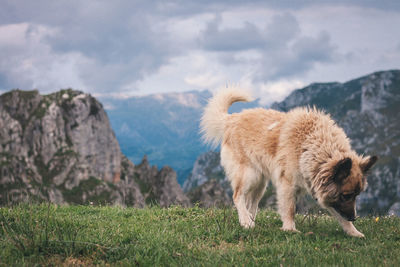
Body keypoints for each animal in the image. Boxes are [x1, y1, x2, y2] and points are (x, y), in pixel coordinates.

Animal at [202, 88, 376, 239]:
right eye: (346, 195)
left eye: (357, 195)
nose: (354, 218)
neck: (313, 144)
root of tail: (231, 119)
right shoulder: (287, 184)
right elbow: (290, 209)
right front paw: (290, 229)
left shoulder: (318, 187)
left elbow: (338, 213)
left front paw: (353, 232)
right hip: (249, 175)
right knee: (238, 196)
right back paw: (246, 221)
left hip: (260, 183)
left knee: (251, 202)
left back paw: (250, 220)